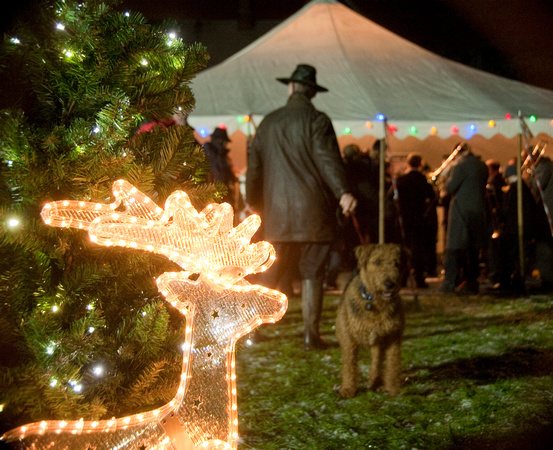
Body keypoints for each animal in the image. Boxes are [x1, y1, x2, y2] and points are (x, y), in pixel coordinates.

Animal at [334, 243, 404, 398]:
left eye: (397, 263)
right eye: (377, 262)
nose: (390, 284)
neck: (373, 301)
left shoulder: (392, 337)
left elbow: (393, 362)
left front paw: (393, 388)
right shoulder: (349, 340)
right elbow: (350, 364)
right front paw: (348, 389)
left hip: (377, 343)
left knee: (376, 363)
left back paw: (375, 382)